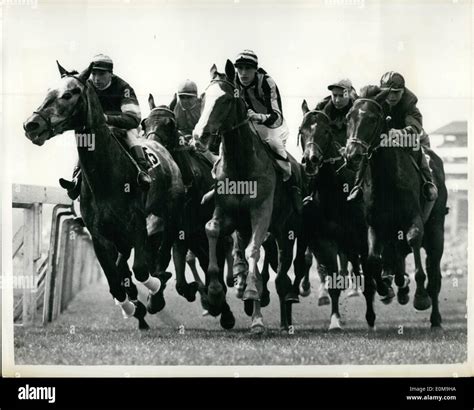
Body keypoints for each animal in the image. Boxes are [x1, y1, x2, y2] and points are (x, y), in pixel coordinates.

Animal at [23, 62, 183, 328]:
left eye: (70, 93)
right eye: (48, 90)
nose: (31, 124)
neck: (106, 177)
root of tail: (163, 148)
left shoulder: (137, 223)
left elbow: (141, 269)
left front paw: (152, 288)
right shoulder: (98, 234)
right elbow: (114, 281)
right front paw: (131, 307)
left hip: (169, 208)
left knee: (165, 244)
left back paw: (158, 284)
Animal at [142, 97, 236, 328]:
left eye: (170, 125)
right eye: (144, 123)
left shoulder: (190, 229)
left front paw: (213, 299)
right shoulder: (169, 230)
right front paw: (156, 297)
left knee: (217, 255)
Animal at [191, 60, 302, 334]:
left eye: (225, 100)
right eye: (203, 98)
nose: (199, 137)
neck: (242, 165)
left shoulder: (261, 212)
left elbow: (254, 251)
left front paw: (254, 304)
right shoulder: (226, 213)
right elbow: (211, 230)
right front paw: (215, 293)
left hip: (287, 231)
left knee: (281, 275)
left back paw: (284, 319)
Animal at [342, 86, 446, 330]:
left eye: (372, 118)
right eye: (348, 117)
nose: (352, 155)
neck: (386, 178)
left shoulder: (414, 219)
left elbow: (414, 242)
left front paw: (420, 297)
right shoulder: (374, 226)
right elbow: (372, 260)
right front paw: (384, 288)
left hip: (436, 230)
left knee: (434, 273)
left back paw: (435, 317)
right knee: (396, 258)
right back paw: (400, 287)